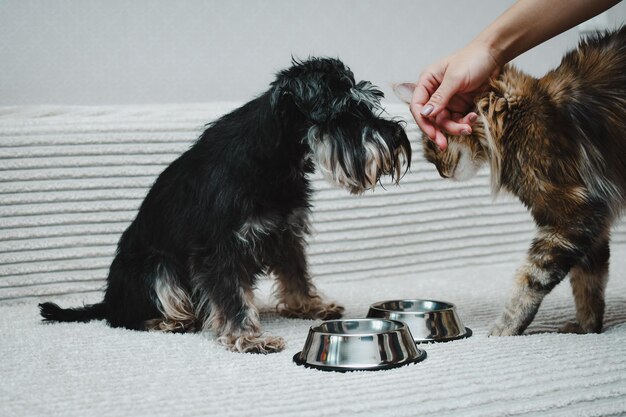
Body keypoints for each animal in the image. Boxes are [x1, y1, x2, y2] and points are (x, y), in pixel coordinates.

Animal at [39, 57, 410, 352]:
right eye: (346, 112)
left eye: (368, 103)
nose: (396, 137)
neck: (274, 159)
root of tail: (107, 300)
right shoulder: (218, 249)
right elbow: (232, 297)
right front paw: (248, 337)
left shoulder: (286, 232)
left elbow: (296, 274)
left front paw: (308, 306)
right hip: (156, 267)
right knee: (127, 317)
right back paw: (170, 321)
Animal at [394, 28, 624, 334]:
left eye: (432, 144)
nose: (440, 172)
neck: (514, 116)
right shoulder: (593, 226)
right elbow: (588, 285)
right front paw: (587, 329)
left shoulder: (574, 212)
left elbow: (528, 281)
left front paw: (504, 330)